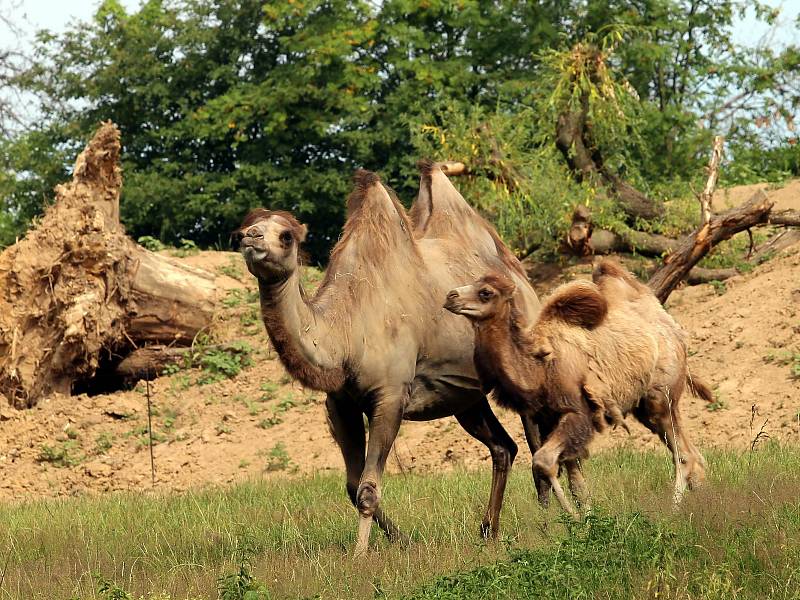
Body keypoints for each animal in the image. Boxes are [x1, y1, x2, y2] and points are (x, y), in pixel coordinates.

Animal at [234, 163, 540, 552]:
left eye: (286, 236)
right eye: (244, 228)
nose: (251, 238)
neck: (346, 333)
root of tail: (520, 279)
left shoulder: (391, 394)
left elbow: (367, 489)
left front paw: (360, 555)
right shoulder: (340, 402)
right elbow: (353, 486)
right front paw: (403, 541)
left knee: (537, 441)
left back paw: (557, 516)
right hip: (465, 396)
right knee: (504, 447)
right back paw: (489, 531)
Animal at [444, 258, 712, 516]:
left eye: (485, 292)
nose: (450, 296)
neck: (539, 367)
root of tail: (673, 328)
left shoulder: (576, 412)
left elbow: (543, 461)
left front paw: (574, 519)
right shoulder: (549, 418)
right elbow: (577, 484)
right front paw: (585, 522)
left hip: (661, 395)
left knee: (684, 456)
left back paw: (674, 511)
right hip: (645, 407)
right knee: (692, 455)